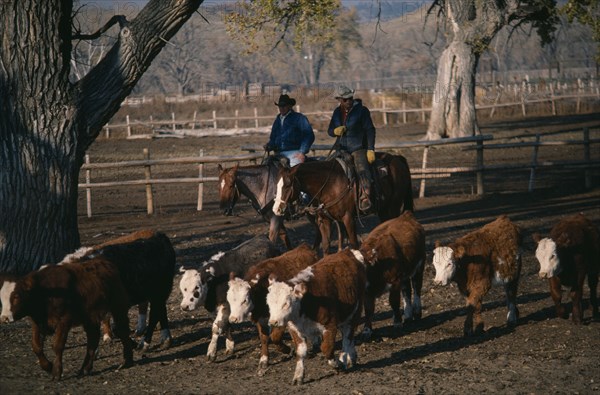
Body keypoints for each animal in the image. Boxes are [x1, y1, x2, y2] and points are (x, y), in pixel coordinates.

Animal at [226, 244, 318, 378]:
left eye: (244, 300)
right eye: (229, 300)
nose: (233, 319)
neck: (262, 290)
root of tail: (304, 248)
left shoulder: (281, 317)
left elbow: (275, 337)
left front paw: (287, 350)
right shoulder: (261, 319)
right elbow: (264, 338)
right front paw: (264, 361)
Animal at [268, 249, 366, 386]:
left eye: (286, 303)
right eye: (269, 302)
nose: (273, 322)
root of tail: (348, 252)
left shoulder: (330, 325)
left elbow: (326, 348)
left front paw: (338, 364)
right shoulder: (294, 328)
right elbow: (301, 352)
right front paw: (298, 376)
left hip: (355, 311)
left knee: (348, 337)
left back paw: (345, 357)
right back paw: (350, 357)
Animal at [272, 153, 412, 255]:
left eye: (287, 185)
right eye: (277, 184)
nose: (276, 209)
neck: (330, 184)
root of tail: (397, 158)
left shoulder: (348, 218)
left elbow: (354, 244)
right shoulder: (324, 220)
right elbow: (326, 247)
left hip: (393, 207)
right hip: (384, 209)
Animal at [358, 212, 424, 342]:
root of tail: (406, 215)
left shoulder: (395, 281)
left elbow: (393, 301)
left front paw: (397, 322)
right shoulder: (367, 291)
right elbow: (368, 310)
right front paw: (367, 330)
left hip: (419, 265)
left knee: (416, 287)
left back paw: (417, 311)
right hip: (404, 275)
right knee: (406, 291)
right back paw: (408, 315)